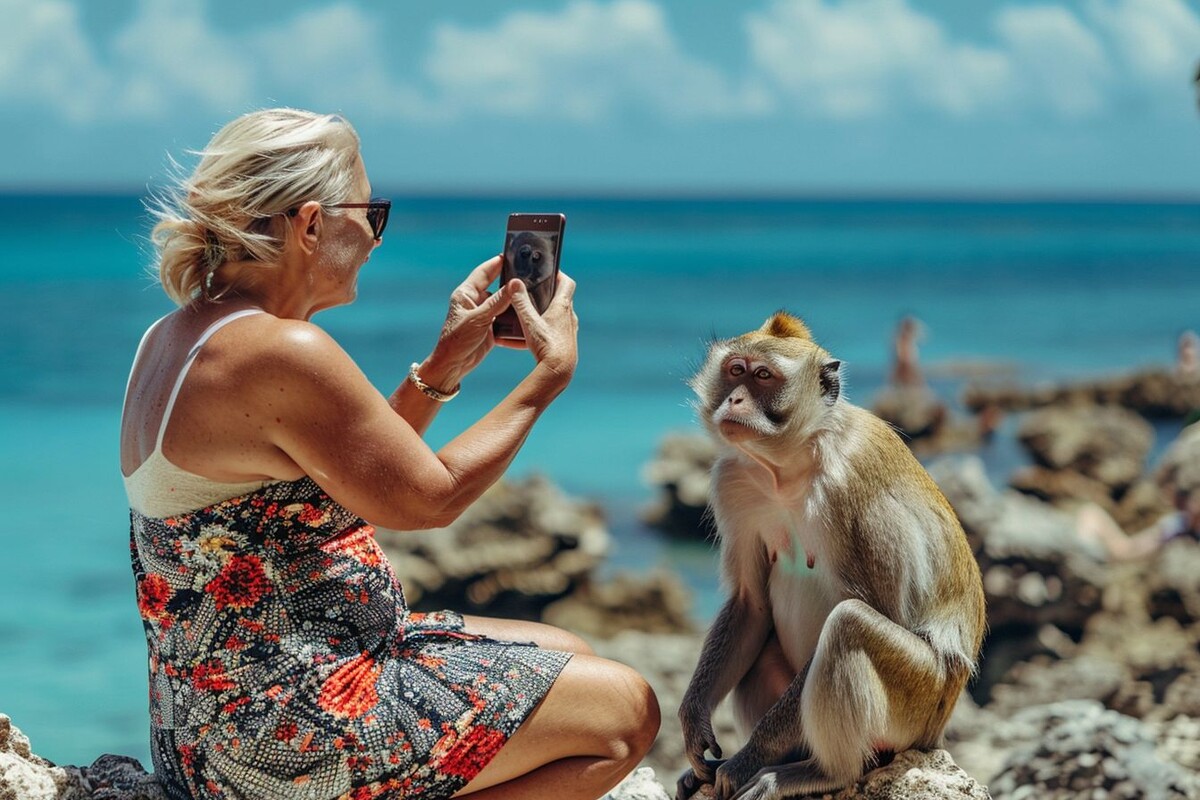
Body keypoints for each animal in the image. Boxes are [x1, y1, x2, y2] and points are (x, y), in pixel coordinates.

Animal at [672, 311, 988, 800]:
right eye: (736, 371)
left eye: (764, 376)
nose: (735, 399)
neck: (791, 464)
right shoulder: (733, 481)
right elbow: (750, 604)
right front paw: (693, 721)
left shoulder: (855, 481)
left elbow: (878, 609)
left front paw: (748, 758)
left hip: (919, 702)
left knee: (849, 625)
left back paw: (823, 772)